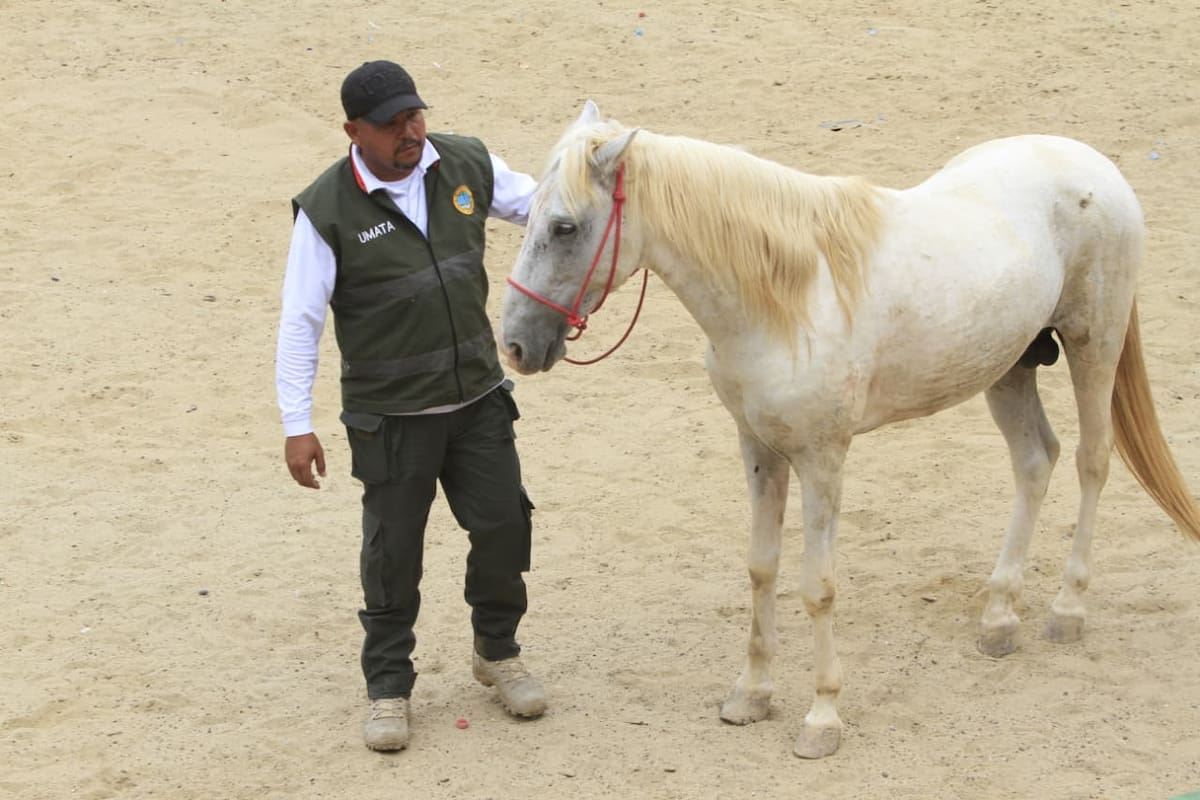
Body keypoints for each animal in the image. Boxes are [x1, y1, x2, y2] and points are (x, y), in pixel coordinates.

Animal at [499, 100, 1200, 758]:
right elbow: (762, 568)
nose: (514, 345)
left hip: (1093, 345)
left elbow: (817, 588)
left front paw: (822, 718)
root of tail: (1091, 163)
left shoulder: (822, 458)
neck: (789, 297)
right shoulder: (758, 447)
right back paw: (999, 618)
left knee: (1091, 460)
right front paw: (751, 696)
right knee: (1035, 462)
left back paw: (1066, 609)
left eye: (564, 226)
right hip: (1009, 367)